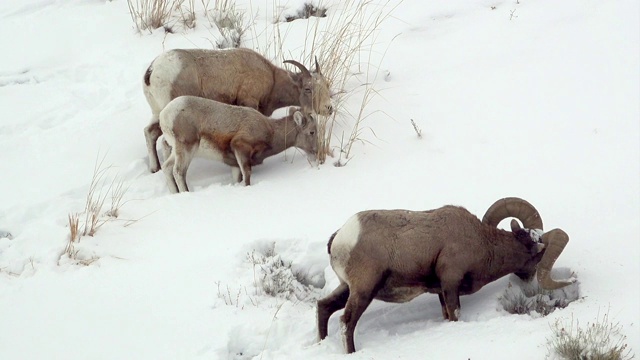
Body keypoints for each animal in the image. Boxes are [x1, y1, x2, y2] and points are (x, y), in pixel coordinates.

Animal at [143, 48, 332, 173]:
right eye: (308, 89)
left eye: (326, 85)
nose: (329, 108)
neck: (271, 79)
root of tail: (151, 72)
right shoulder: (249, 102)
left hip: (157, 114)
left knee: (150, 133)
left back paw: (155, 168)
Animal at [159, 95, 318, 191]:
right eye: (312, 132)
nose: (316, 153)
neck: (271, 131)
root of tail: (165, 115)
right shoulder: (240, 148)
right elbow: (247, 176)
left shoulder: (235, 165)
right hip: (187, 149)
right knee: (178, 172)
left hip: (176, 151)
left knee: (166, 167)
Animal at [318, 197, 572, 352]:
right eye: (539, 257)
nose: (528, 279)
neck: (481, 243)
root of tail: (340, 238)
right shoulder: (450, 283)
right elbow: (455, 313)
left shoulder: (440, 291)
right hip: (364, 291)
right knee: (346, 321)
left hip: (348, 288)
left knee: (324, 307)